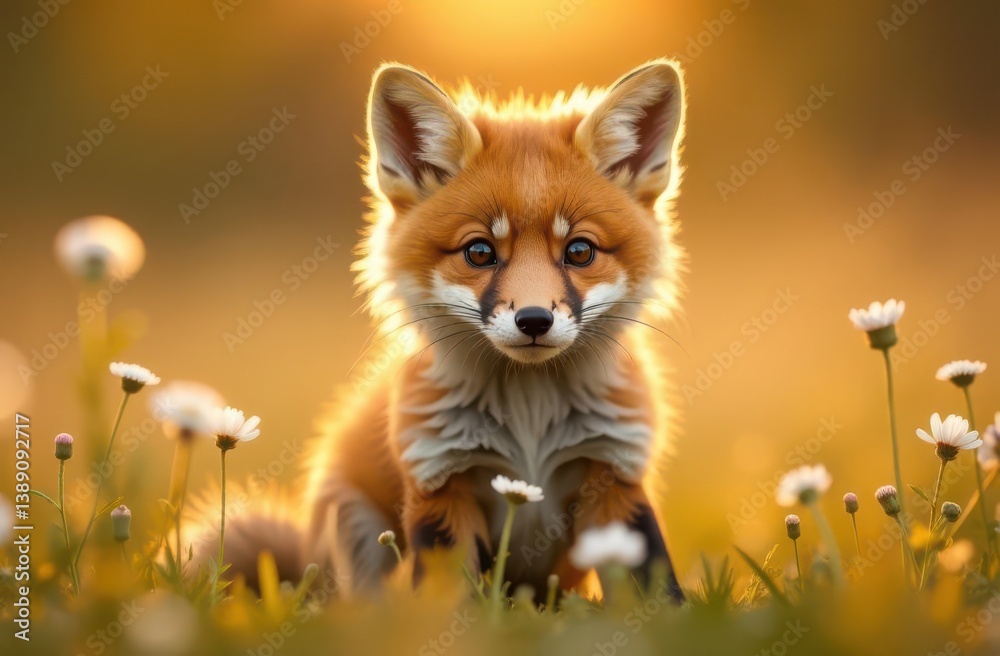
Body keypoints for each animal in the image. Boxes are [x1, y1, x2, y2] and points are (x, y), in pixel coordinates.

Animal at [203, 58, 688, 602]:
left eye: (580, 251)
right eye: (479, 252)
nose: (534, 320)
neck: (531, 425)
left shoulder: (615, 470)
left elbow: (656, 593)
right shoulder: (439, 480)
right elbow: (450, 600)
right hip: (357, 528)